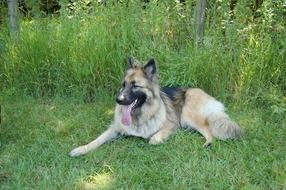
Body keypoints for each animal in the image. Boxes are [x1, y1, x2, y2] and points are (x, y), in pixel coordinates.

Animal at [69, 57, 241, 157]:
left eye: (135, 85)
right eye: (123, 85)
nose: (118, 100)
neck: (139, 115)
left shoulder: (171, 124)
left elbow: (153, 139)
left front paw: (156, 138)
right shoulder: (114, 128)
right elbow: (98, 139)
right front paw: (81, 149)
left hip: (188, 115)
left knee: (208, 130)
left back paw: (208, 143)